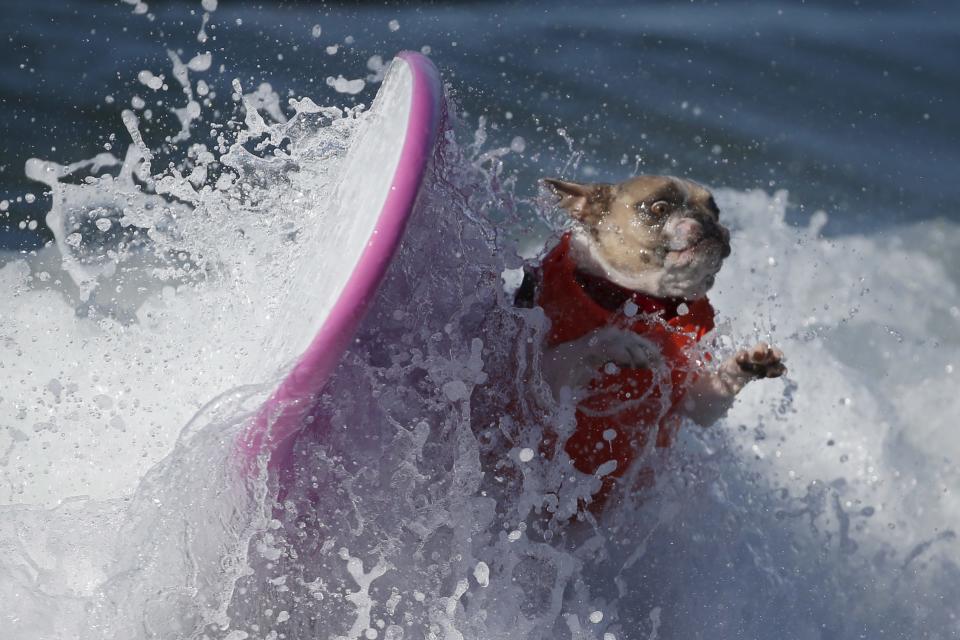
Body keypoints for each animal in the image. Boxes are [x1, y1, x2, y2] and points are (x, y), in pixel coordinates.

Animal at [512, 175, 784, 504]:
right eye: (659, 208)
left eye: (715, 209)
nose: (707, 221)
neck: (645, 305)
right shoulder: (543, 391)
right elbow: (579, 346)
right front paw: (622, 341)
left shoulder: (694, 400)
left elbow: (711, 396)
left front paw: (748, 364)